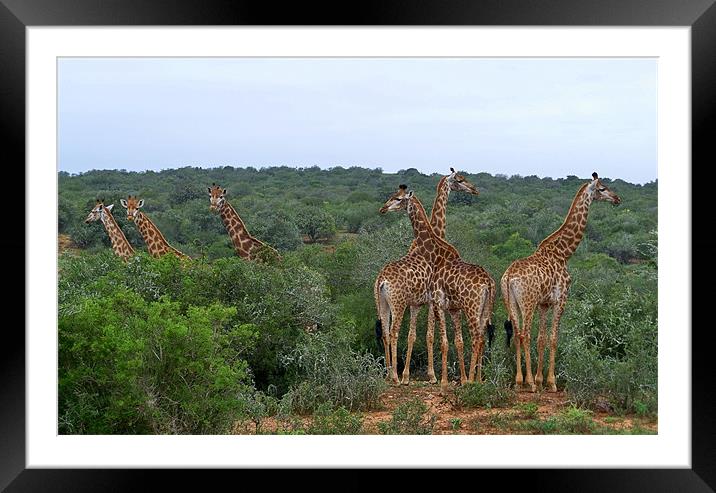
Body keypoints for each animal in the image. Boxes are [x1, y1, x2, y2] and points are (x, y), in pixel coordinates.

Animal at [372, 186, 462, 386]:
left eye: (397, 198)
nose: (382, 209)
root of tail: (381, 279)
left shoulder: (417, 303)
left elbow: (414, 335)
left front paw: (408, 376)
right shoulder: (430, 301)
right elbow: (429, 335)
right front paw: (432, 376)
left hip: (382, 302)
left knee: (385, 332)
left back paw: (389, 374)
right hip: (398, 303)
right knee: (393, 331)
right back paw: (395, 377)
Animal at [504, 173, 620, 392]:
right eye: (602, 188)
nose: (617, 199)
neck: (564, 253)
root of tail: (508, 277)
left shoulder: (544, 303)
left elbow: (542, 339)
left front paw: (540, 380)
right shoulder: (561, 300)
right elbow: (553, 339)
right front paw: (550, 382)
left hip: (511, 302)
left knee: (517, 334)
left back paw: (519, 381)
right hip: (528, 302)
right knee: (525, 335)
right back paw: (528, 382)